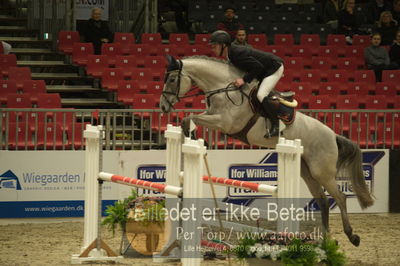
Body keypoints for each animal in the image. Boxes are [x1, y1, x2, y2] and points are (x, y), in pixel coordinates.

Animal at [161, 55, 374, 246]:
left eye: (171, 79)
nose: (163, 107)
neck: (224, 88)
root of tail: (333, 135)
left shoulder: (224, 122)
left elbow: (190, 118)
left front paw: (194, 136)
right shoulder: (213, 116)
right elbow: (189, 119)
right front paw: (191, 137)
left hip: (322, 171)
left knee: (340, 197)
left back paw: (352, 237)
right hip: (307, 171)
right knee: (322, 201)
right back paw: (326, 241)